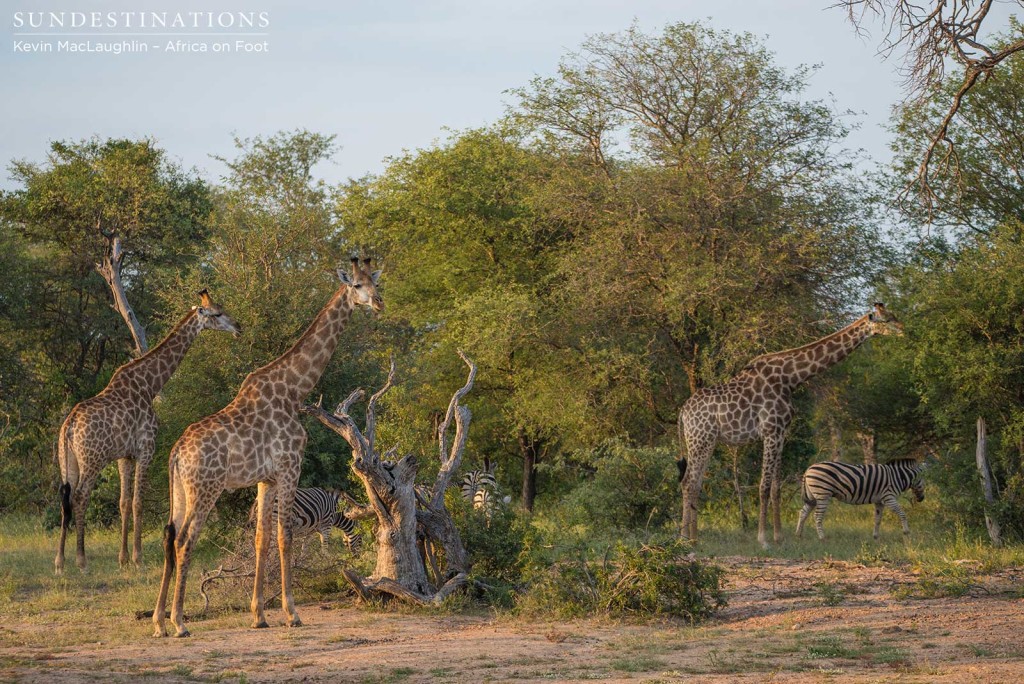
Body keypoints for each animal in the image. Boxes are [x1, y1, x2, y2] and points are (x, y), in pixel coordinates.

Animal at [55, 290, 241, 573]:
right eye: (218, 313)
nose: (238, 327)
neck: (150, 384)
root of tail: (69, 426)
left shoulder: (124, 456)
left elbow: (124, 502)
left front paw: (122, 558)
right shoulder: (146, 449)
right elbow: (138, 502)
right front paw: (137, 558)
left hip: (68, 461)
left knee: (64, 499)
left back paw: (60, 561)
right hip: (92, 460)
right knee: (80, 497)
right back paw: (82, 560)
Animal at [155, 255, 385, 634]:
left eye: (375, 282)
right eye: (356, 285)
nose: (378, 302)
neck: (294, 390)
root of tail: (175, 453)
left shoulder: (266, 478)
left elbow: (262, 538)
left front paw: (259, 615)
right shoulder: (291, 466)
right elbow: (285, 536)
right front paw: (292, 613)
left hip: (180, 490)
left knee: (170, 538)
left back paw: (159, 621)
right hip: (206, 487)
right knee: (186, 540)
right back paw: (179, 622)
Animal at [679, 301, 905, 548]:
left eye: (893, 315)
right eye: (887, 319)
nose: (904, 330)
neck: (790, 378)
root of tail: (683, 413)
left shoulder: (781, 433)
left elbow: (776, 487)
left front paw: (778, 537)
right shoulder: (771, 431)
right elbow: (764, 486)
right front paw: (763, 539)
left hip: (706, 441)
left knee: (695, 483)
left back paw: (695, 538)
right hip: (701, 439)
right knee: (688, 482)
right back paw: (684, 539)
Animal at [794, 456, 925, 540]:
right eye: (924, 481)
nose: (922, 499)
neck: (898, 476)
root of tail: (808, 469)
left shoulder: (879, 501)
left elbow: (877, 519)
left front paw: (875, 537)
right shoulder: (889, 497)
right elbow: (902, 514)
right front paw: (906, 532)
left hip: (812, 497)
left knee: (803, 512)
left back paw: (798, 535)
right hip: (822, 494)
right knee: (817, 516)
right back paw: (822, 537)